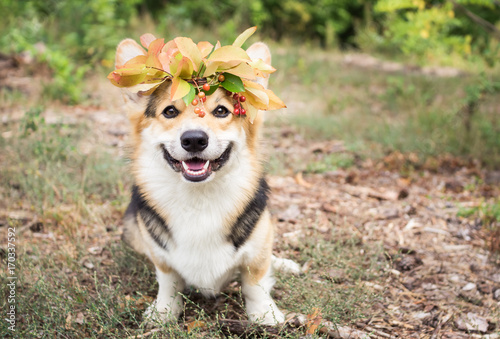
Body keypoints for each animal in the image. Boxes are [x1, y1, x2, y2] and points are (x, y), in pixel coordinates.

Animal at [114, 37, 298, 326]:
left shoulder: (257, 248)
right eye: (170, 111)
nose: (194, 140)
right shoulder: (161, 257)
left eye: (221, 111)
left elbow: (254, 281)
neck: (198, 196)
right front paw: (164, 311)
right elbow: (168, 280)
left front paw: (264, 314)